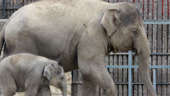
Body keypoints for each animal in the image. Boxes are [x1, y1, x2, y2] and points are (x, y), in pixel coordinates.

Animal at [0, 0, 156, 96]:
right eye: (135, 31)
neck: (110, 6)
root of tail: (9, 20)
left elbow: (88, 75)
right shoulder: (92, 34)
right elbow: (89, 66)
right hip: (20, 42)